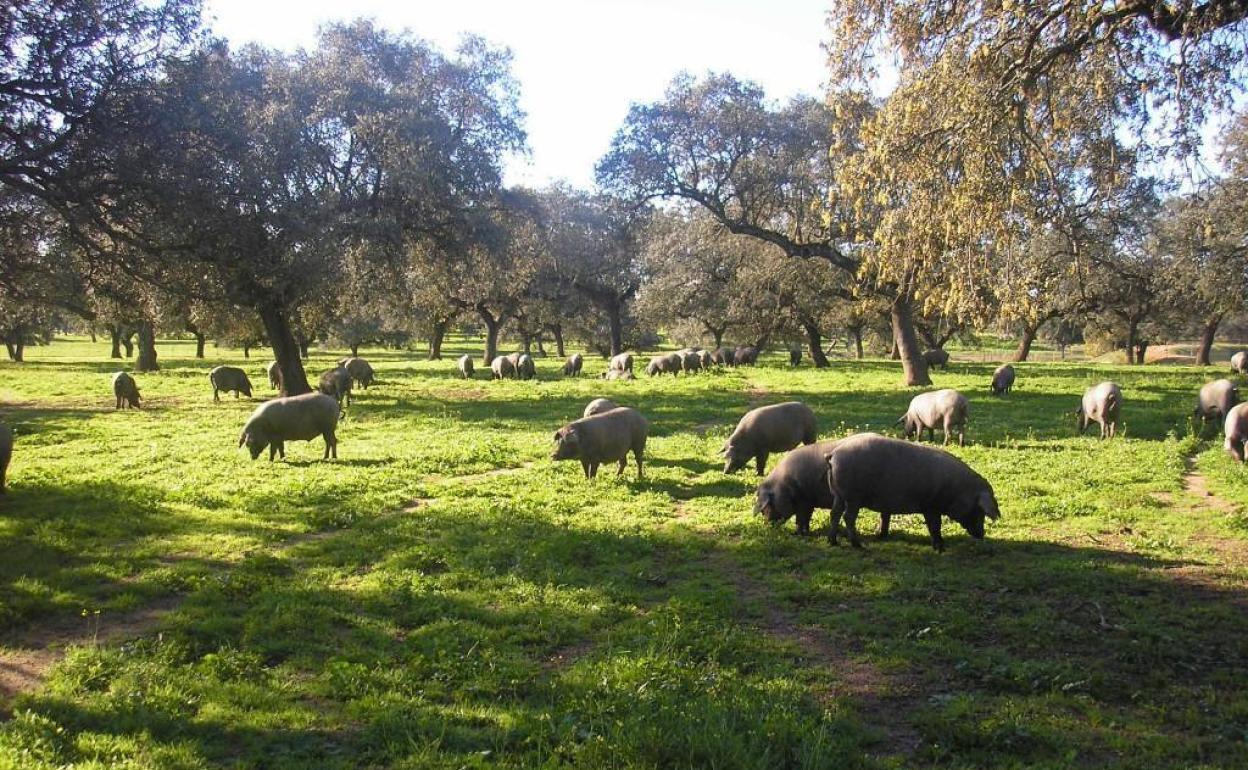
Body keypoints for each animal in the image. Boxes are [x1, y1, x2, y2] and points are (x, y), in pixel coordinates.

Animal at [818, 434, 1003, 549]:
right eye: (979, 509)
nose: (982, 534)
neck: (957, 489)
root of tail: (834, 454)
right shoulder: (931, 506)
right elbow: (935, 526)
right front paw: (941, 547)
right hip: (853, 497)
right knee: (848, 517)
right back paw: (858, 545)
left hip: (838, 495)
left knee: (834, 514)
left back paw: (833, 542)